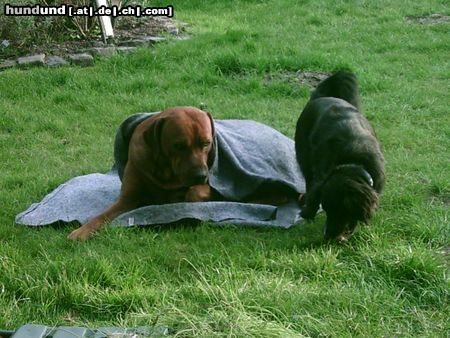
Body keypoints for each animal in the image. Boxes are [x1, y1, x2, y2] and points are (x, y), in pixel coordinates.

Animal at [68, 106, 218, 240]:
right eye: (179, 146)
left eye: (206, 143)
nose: (201, 175)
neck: (165, 171)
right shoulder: (127, 199)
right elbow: (103, 215)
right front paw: (82, 231)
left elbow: (193, 192)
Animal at [294, 71, 384, 240]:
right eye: (327, 209)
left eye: (341, 210)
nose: (328, 236)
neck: (353, 161)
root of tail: (321, 96)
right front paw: (308, 212)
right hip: (304, 155)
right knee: (308, 179)